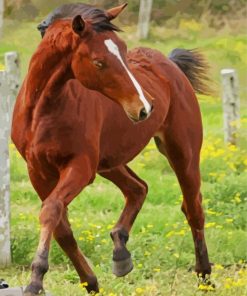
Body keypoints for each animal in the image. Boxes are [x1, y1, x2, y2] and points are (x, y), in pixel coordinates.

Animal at [11, 3, 211, 294]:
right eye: (98, 62)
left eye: (124, 52)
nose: (144, 107)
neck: (42, 112)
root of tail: (171, 64)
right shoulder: (37, 171)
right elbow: (61, 226)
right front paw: (90, 282)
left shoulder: (80, 167)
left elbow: (51, 210)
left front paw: (35, 280)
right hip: (110, 162)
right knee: (138, 188)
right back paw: (120, 254)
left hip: (182, 151)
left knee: (193, 207)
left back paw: (204, 276)